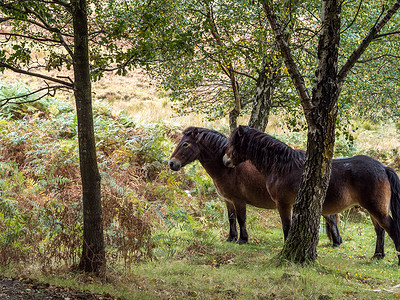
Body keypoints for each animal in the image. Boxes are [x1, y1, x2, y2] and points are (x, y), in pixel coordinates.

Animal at [167, 126, 342, 246]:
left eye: (185, 144)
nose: (171, 163)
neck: (228, 168)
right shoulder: (228, 201)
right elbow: (231, 219)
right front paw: (231, 238)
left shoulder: (238, 200)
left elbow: (241, 218)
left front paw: (243, 239)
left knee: (331, 218)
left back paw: (336, 242)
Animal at [223, 125, 400, 264]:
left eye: (233, 142)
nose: (225, 161)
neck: (282, 167)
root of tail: (384, 167)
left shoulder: (283, 204)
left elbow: (286, 228)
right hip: (373, 210)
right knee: (380, 230)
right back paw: (377, 256)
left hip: (376, 209)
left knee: (391, 229)